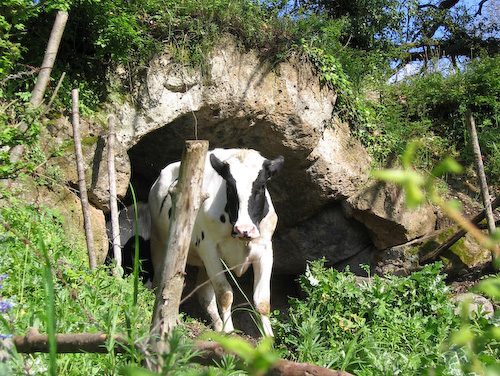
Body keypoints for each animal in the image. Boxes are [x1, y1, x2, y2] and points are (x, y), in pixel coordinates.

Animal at [148, 147, 284, 334]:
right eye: (229, 187)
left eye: (261, 186)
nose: (244, 229)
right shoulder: (209, 249)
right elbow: (224, 294)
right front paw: (230, 333)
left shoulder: (265, 250)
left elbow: (262, 301)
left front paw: (268, 338)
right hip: (158, 244)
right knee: (158, 281)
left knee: (204, 294)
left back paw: (219, 326)